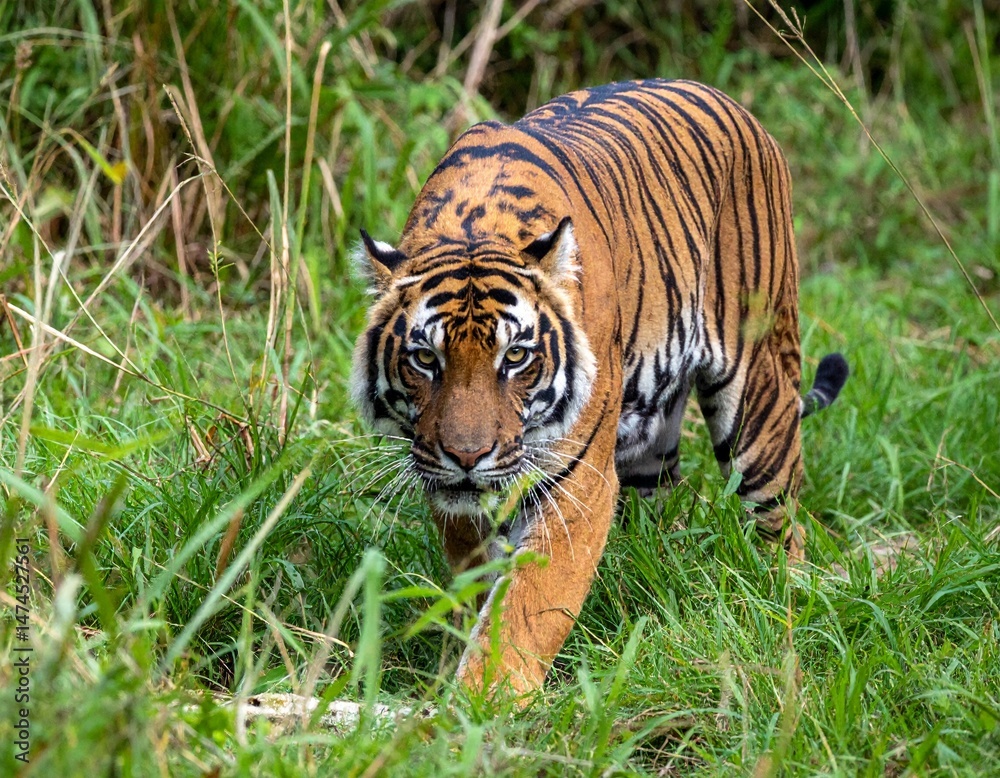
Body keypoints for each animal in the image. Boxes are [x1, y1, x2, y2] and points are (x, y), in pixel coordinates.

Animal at [350, 79, 848, 695]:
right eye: (425, 359)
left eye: (515, 357)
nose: (467, 456)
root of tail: (739, 108)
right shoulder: (447, 485)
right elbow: (478, 581)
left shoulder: (577, 483)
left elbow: (526, 606)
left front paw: (478, 702)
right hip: (652, 444)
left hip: (758, 400)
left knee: (783, 523)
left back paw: (789, 605)